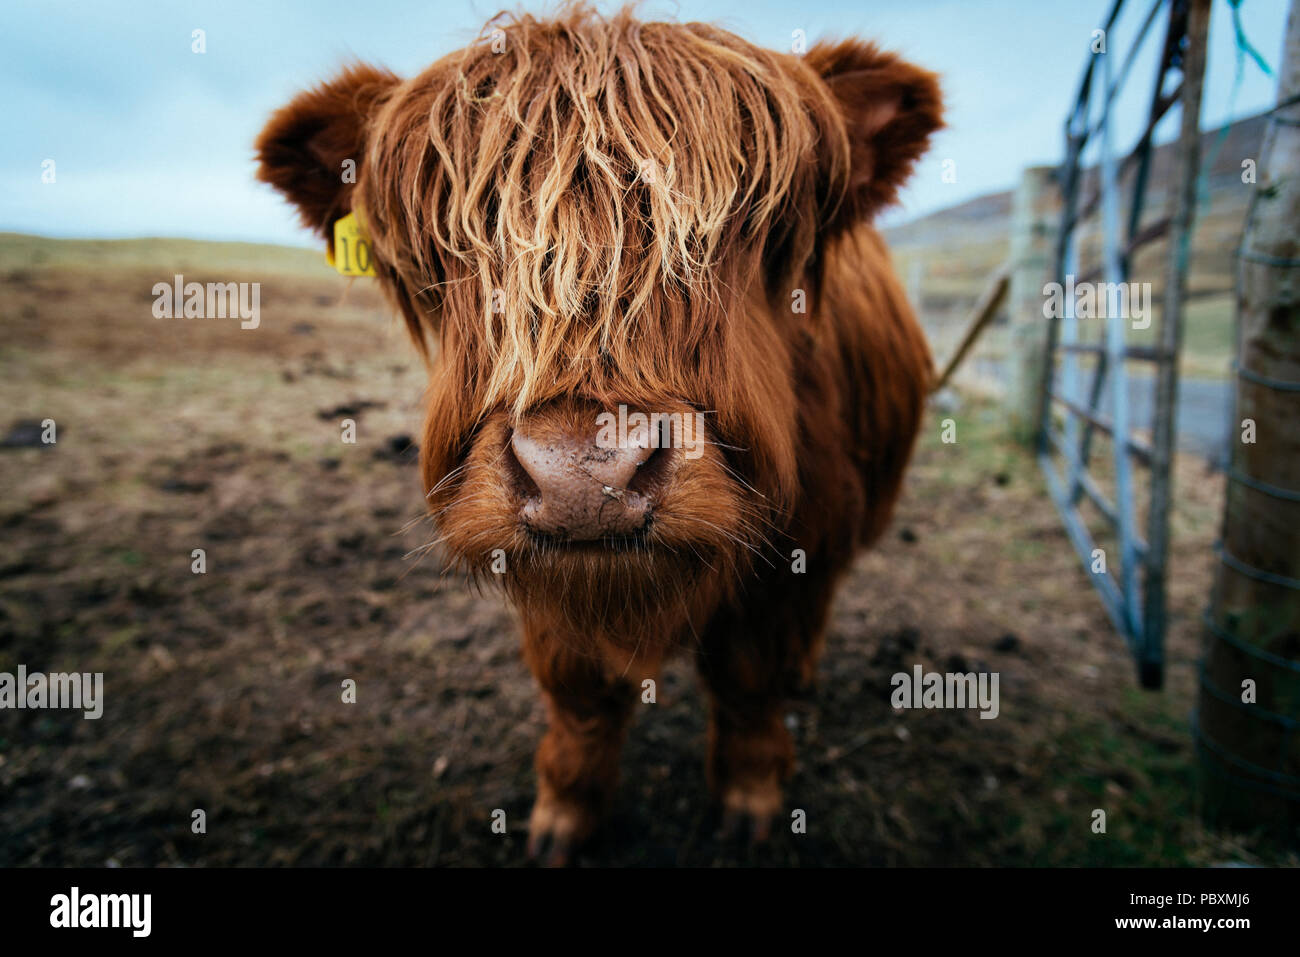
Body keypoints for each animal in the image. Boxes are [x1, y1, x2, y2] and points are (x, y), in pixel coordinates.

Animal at [256, 1, 946, 868]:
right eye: (451, 247)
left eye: (745, 231)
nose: (582, 477)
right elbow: (579, 695)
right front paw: (564, 815)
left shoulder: (799, 551)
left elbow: (750, 679)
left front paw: (751, 800)